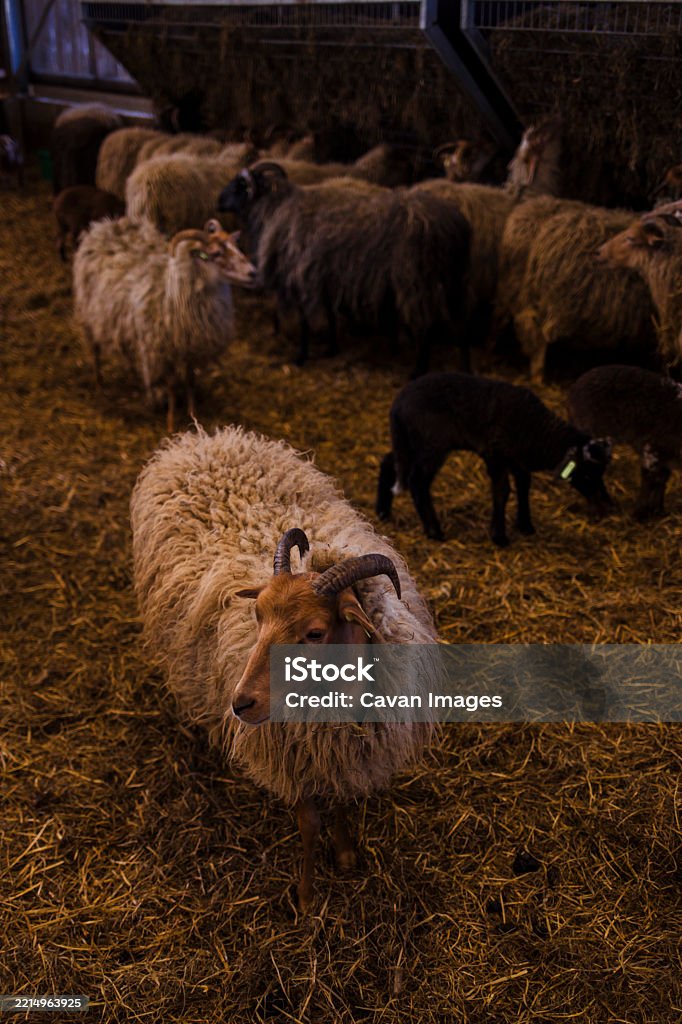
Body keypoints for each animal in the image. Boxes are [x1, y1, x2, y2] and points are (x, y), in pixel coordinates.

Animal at [72, 218, 256, 430]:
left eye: (236, 246)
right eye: (216, 253)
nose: (253, 273)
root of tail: (106, 225)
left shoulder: (191, 349)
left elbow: (190, 381)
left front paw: (193, 416)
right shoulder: (163, 350)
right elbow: (171, 385)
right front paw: (170, 421)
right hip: (90, 312)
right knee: (94, 350)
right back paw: (99, 384)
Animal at [130, 423, 437, 908]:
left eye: (314, 633)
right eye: (257, 615)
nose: (239, 704)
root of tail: (205, 437)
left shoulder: (345, 754)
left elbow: (341, 802)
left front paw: (345, 856)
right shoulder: (289, 756)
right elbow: (309, 824)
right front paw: (308, 896)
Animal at [218, 162, 471, 374]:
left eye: (240, 185)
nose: (218, 201)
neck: (274, 209)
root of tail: (455, 223)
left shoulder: (299, 274)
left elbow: (304, 321)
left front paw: (301, 357)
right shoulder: (324, 274)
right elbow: (330, 315)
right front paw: (332, 348)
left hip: (417, 280)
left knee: (427, 328)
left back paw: (418, 371)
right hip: (452, 279)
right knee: (460, 326)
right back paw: (464, 366)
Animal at [375, 372, 612, 546]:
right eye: (587, 475)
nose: (603, 511)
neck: (539, 432)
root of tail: (397, 405)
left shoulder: (515, 457)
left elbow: (524, 484)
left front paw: (525, 525)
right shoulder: (495, 453)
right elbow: (502, 490)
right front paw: (499, 536)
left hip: (410, 441)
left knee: (389, 462)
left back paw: (382, 512)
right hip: (432, 443)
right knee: (417, 481)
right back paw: (434, 531)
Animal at [567, 365, 682, 521]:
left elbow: (661, 480)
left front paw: (658, 511)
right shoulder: (652, 450)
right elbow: (650, 480)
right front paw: (640, 514)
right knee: (588, 470)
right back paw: (598, 511)